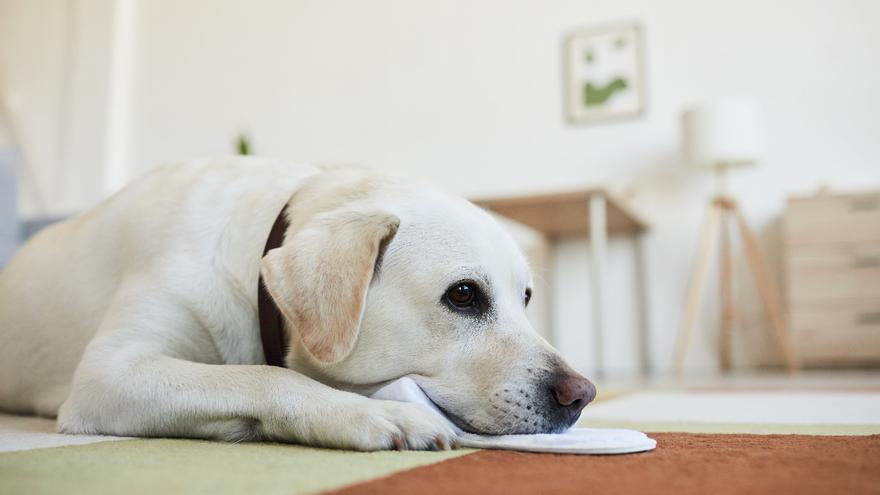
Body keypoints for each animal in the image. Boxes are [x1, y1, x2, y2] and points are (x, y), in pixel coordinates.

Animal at [0, 158, 600, 450]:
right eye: (464, 295)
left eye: (526, 298)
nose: (583, 395)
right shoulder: (110, 373)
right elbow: (267, 376)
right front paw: (373, 413)